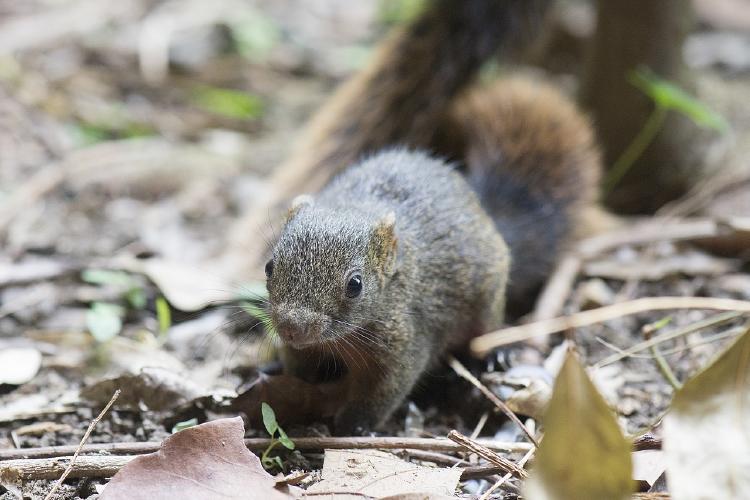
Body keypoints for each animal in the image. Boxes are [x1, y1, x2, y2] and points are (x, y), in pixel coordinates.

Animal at [262, 0, 604, 434]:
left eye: (355, 285)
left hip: (486, 297)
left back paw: (493, 353)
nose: (292, 327)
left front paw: (354, 424)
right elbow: (301, 363)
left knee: (487, 325)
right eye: (269, 267)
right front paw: (292, 375)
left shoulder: (406, 341)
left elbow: (385, 390)